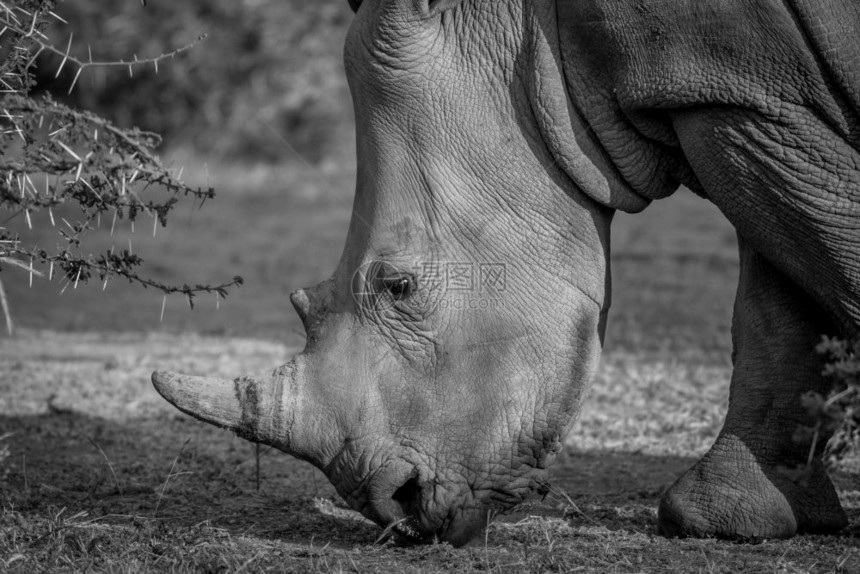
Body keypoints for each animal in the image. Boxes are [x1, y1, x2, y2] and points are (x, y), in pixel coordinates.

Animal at [151, 0, 856, 548]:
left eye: (399, 287)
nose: (397, 508)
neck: (532, 47)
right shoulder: (744, 101)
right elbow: (775, 307)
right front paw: (733, 521)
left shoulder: (744, 98)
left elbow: (824, 262)